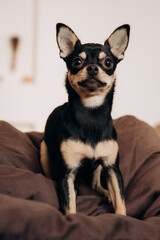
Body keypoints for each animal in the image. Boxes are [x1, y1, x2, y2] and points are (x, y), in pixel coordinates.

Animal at [40, 22, 130, 215]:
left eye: (108, 62)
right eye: (77, 61)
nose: (93, 67)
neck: (91, 112)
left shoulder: (112, 168)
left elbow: (120, 200)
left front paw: (122, 216)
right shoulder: (67, 174)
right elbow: (70, 206)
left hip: (99, 168)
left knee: (96, 185)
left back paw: (106, 193)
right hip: (44, 150)